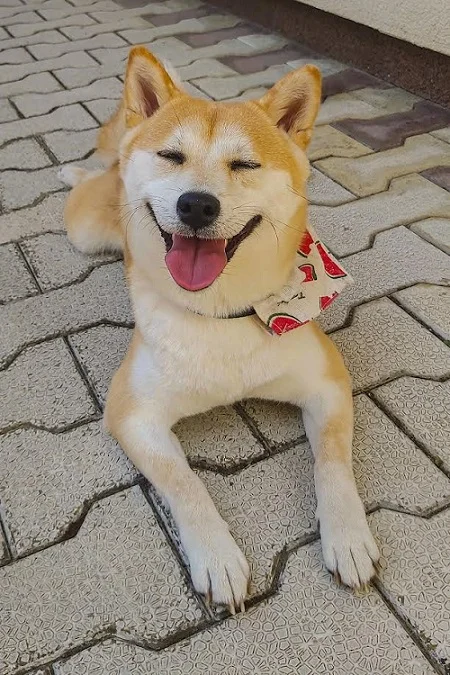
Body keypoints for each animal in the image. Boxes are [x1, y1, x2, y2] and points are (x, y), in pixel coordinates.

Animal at [60, 46, 380, 612]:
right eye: (171, 156)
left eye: (245, 164)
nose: (196, 204)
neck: (219, 313)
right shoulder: (133, 412)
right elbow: (185, 484)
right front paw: (217, 556)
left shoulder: (328, 384)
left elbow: (333, 463)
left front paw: (347, 535)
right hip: (85, 229)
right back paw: (77, 171)